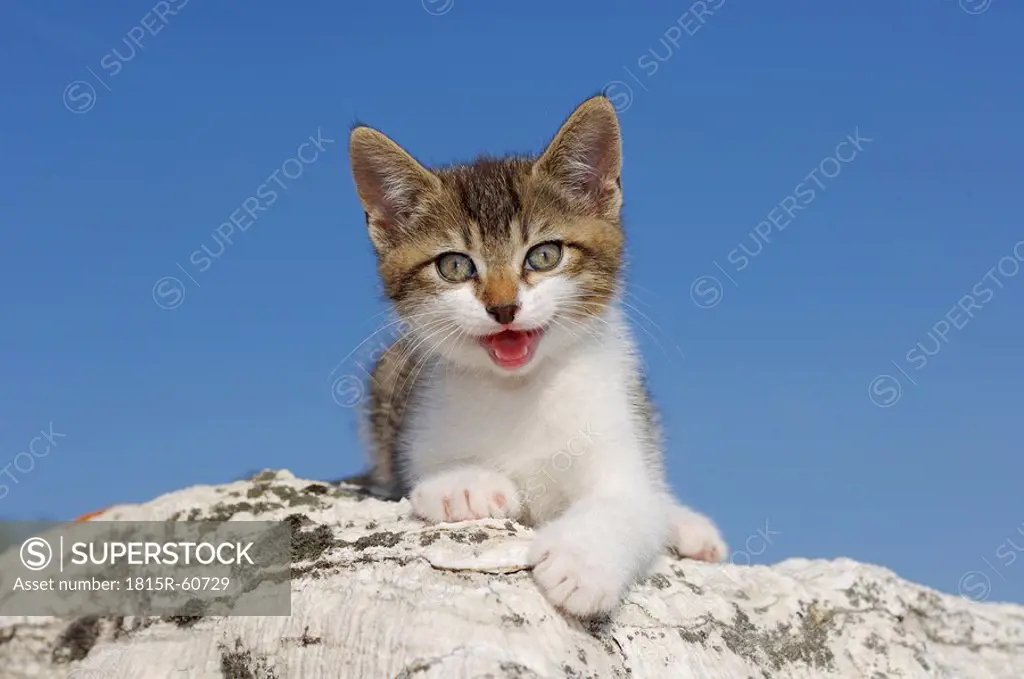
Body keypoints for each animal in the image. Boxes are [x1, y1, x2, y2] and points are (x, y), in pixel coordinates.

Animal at [346, 95, 729, 622]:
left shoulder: (619, 431)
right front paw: (462, 486)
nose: (504, 307)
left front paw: (580, 565)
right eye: (454, 265)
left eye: (544, 256)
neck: (520, 388)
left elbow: (629, 506)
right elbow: (422, 470)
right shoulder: (410, 418)